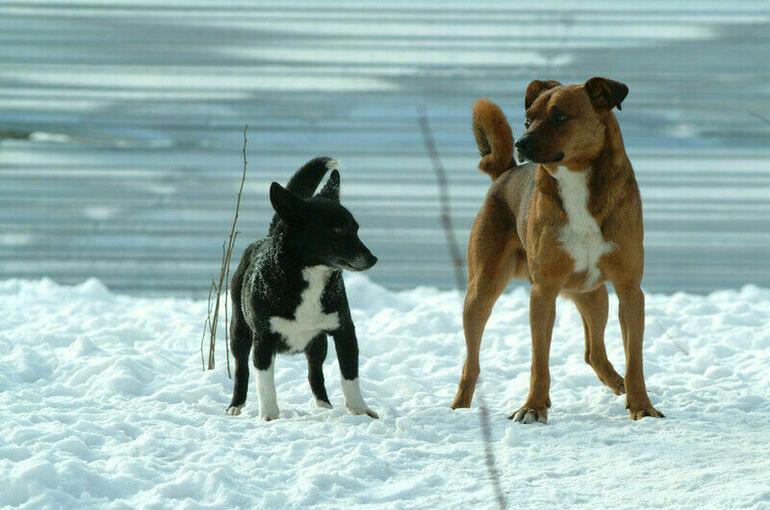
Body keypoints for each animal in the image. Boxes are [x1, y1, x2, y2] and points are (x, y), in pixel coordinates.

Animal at [224, 157, 376, 420]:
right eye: (337, 229)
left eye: (356, 228)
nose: (373, 259)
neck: (311, 275)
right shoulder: (263, 339)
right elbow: (265, 383)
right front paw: (269, 416)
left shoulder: (345, 331)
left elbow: (350, 375)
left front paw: (358, 410)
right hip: (239, 332)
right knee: (241, 369)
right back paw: (236, 405)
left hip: (317, 345)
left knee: (315, 374)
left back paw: (324, 406)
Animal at [450, 77, 660, 422]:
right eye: (527, 119)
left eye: (560, 117)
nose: (521, 143)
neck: (576, 180)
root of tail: (505, 173)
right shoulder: (544, 290)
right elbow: (539, 361)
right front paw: (533, 408)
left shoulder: (629, 290)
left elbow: (636, 360)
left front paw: (642, 406)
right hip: (482, 290)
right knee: (472, 361)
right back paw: (460, 407)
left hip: (594, 295)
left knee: (594, 352)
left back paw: (619, 387)